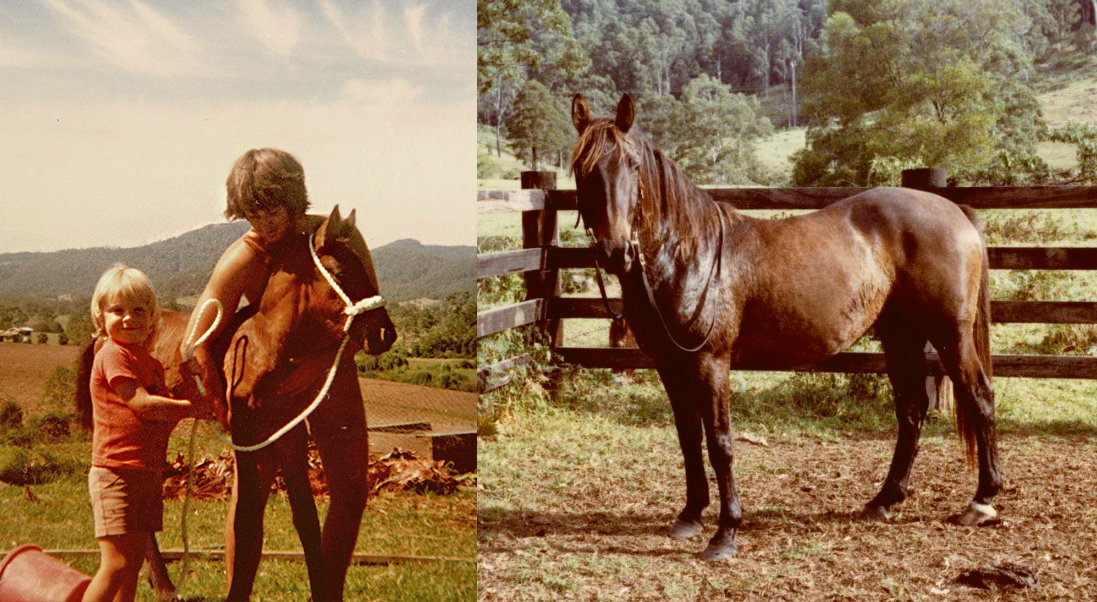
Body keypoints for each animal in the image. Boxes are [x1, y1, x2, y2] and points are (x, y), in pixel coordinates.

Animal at [569, 93, 1002, 561]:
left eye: (632, 164)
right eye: (582, 169)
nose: (616, 251)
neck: (688, 253)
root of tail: (954, 210)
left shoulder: (711, 364)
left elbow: (720, 444)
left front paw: (725, 533)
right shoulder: (671, 366)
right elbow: (688, 439)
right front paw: (690, 514)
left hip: (950, 335)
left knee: (979, 398)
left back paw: (981, 501)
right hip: (900, 336)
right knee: (912, 411)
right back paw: (884, 500)